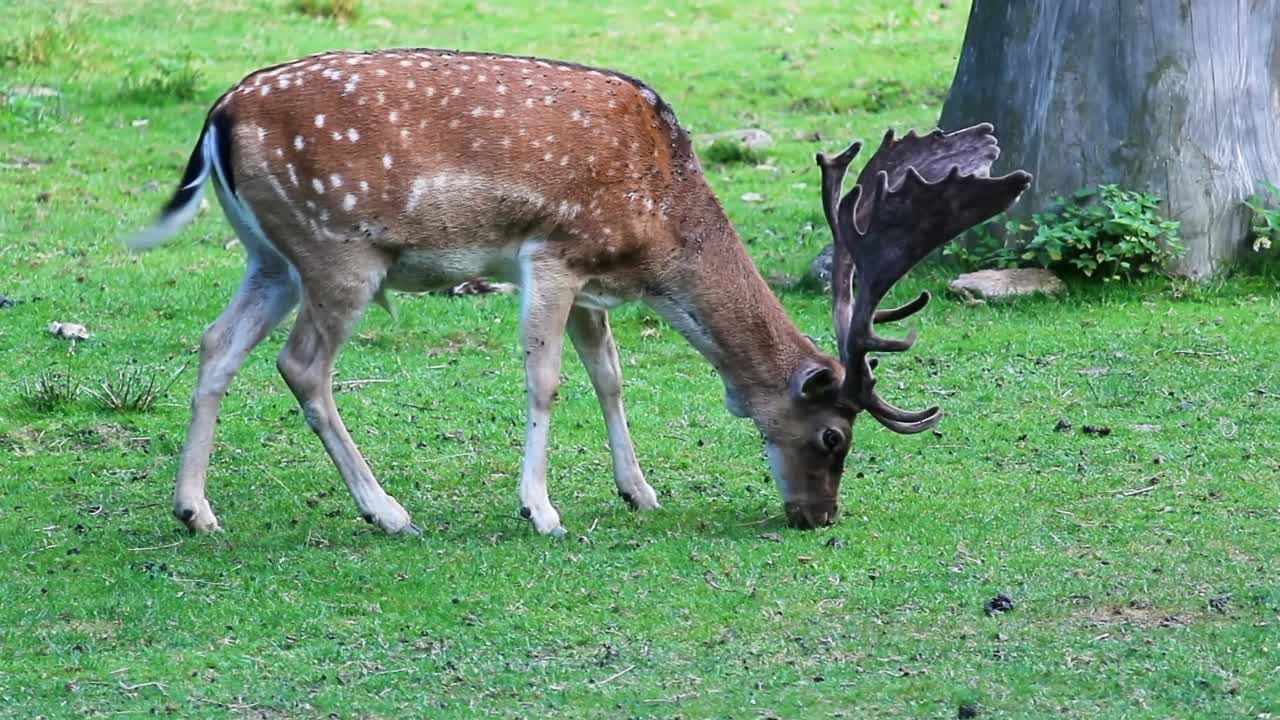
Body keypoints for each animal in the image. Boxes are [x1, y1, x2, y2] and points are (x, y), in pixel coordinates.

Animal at [129, 47, 1029, 535]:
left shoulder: (598, 280)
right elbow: (547, 378)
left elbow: (610, 377)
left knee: (215, 345)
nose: (819, 517)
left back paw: (194, 509)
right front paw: (542, 509)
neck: (661, 224)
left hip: (270, 258)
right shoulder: (554, 252)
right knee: (302, 366)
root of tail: (217, 117)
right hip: (339, 252)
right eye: (834, 437)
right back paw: (386, 510)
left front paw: (641, 491)